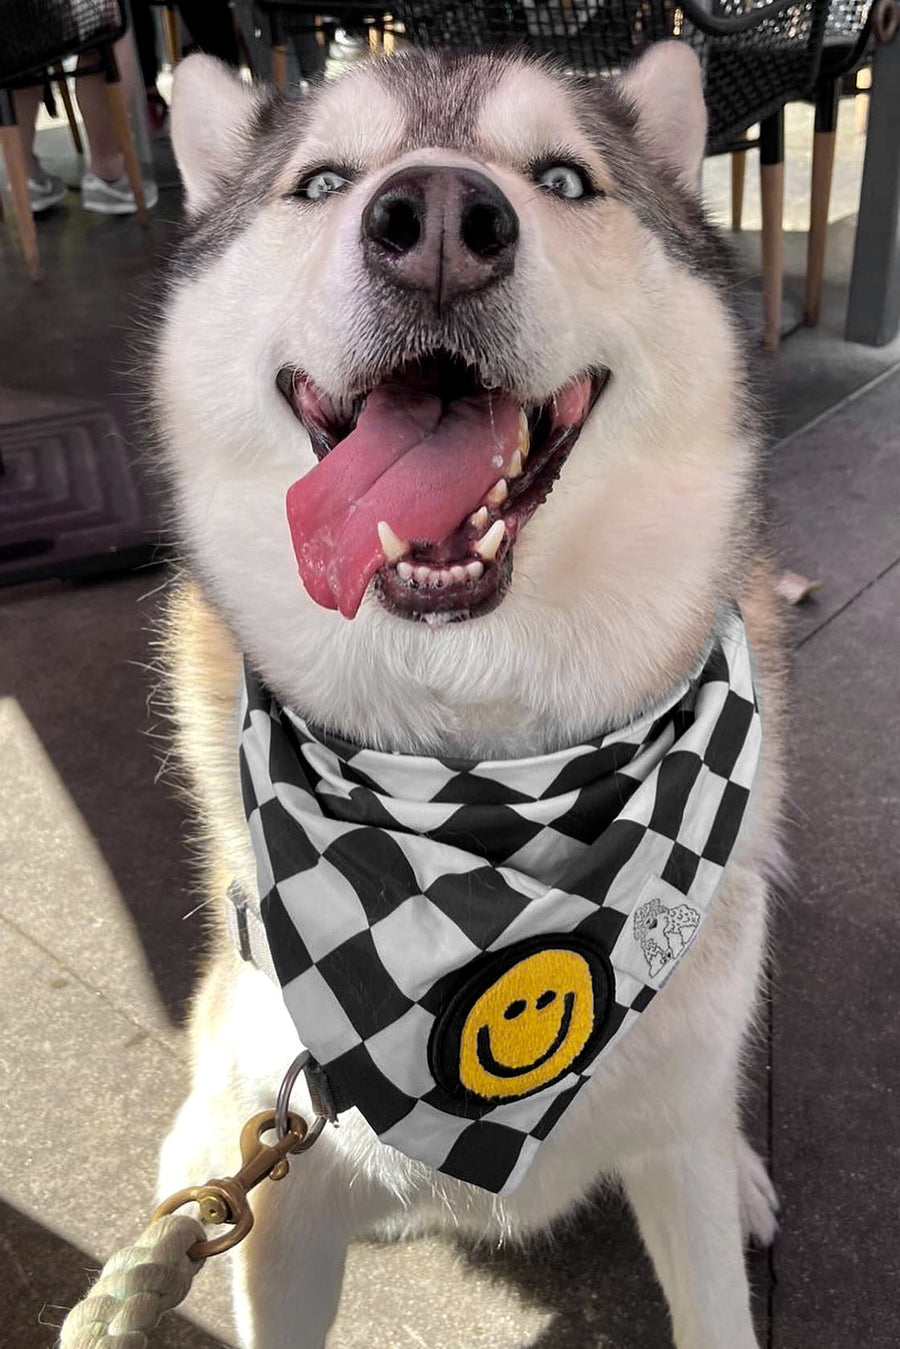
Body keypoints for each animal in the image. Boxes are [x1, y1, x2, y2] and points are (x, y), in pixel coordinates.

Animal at [156, 42, 788, 1349]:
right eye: (323, 179)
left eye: (563, 177)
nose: (439, 221)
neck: (478, 774)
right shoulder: (281, 1211)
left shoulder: (681, 1154)